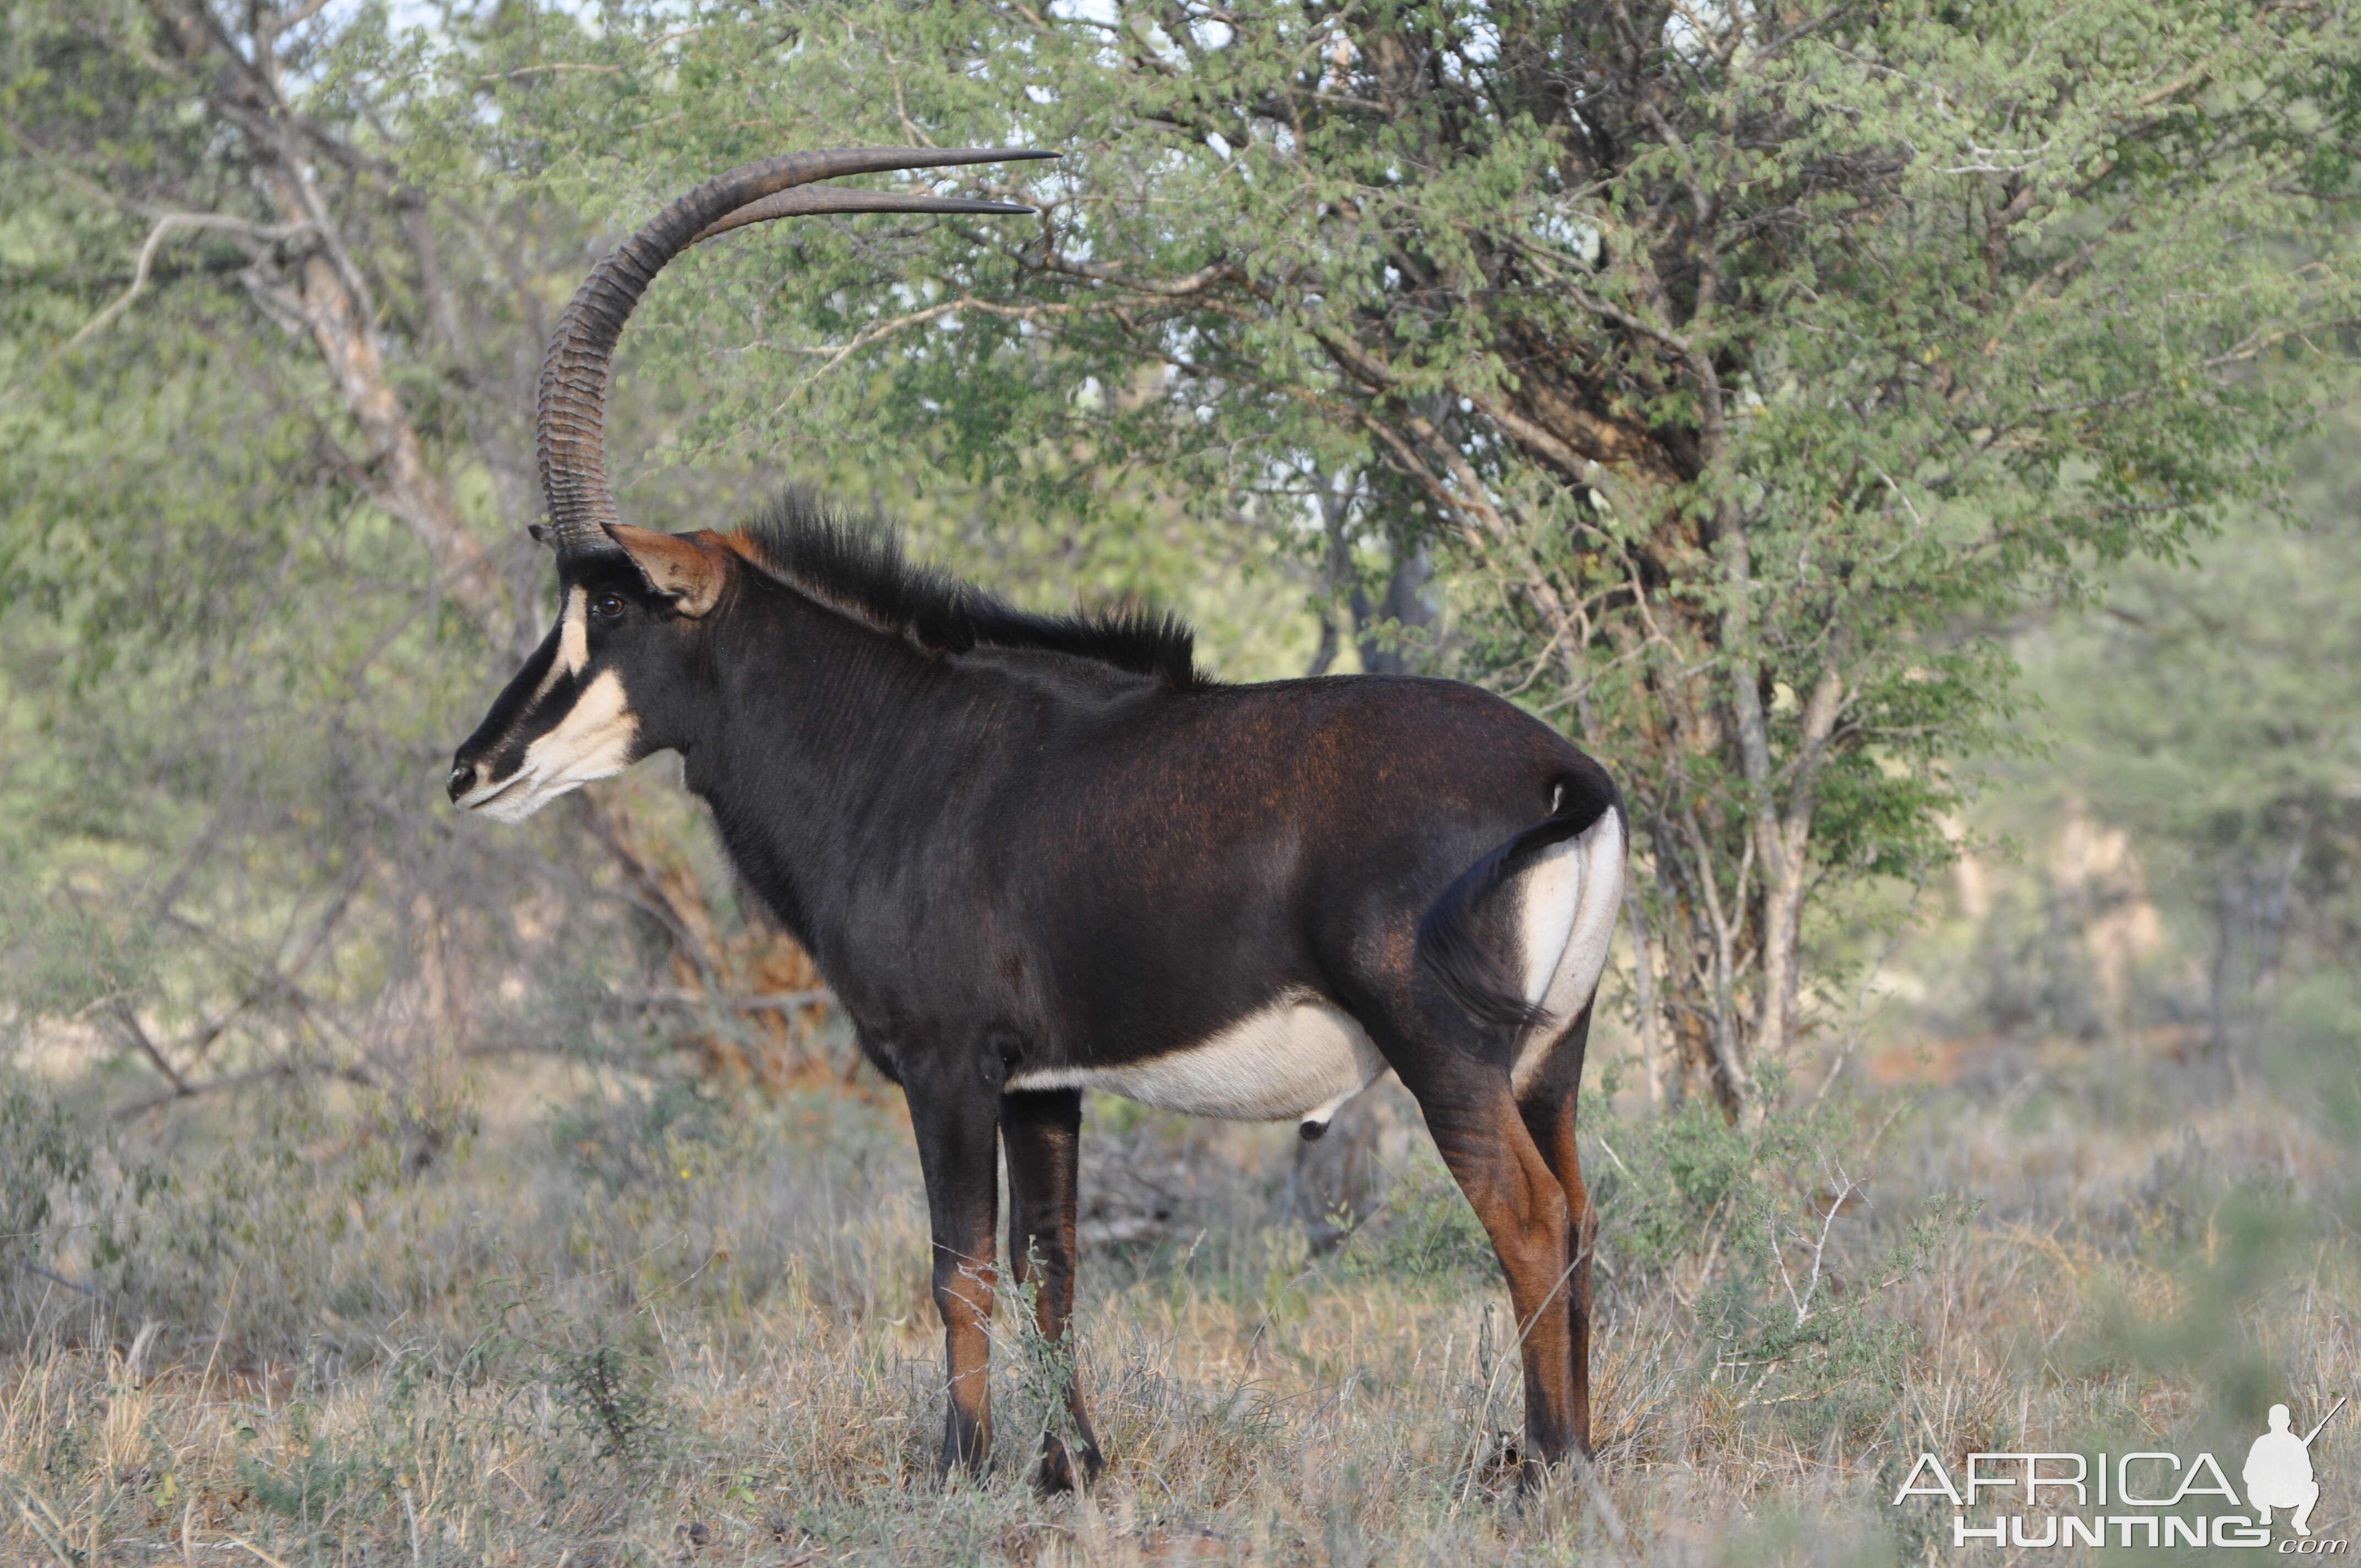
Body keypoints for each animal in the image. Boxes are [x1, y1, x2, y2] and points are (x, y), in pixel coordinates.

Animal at [446, 150, 1624, 1492]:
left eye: (609, 607)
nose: (474, 767)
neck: (894, 742)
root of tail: (1561, 772)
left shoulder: (946, 1061)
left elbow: (957, 1267)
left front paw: (956, 1465)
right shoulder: (1044, 1083)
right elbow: (1049, 1263)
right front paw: (1071, 1467)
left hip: (1447, 1053)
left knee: (1527, 1220)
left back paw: (1540, 1470)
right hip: (1550, 1059)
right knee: (1579, 1215)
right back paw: (1580, 1457)